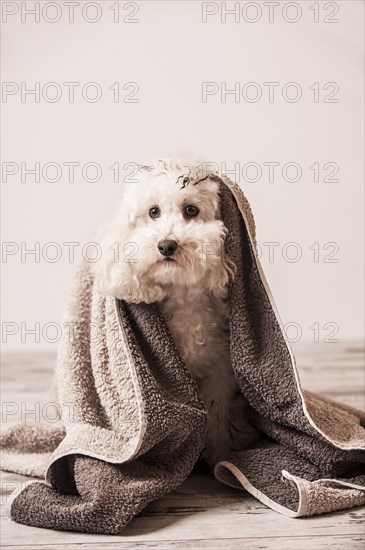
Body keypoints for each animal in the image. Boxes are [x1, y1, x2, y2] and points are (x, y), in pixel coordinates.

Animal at [92, 158, 258, 466]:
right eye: (153, 212)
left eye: (191, 210)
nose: (166, 245)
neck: (184, 296)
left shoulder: (219, 373)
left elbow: (216, 415)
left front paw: (219, 456)